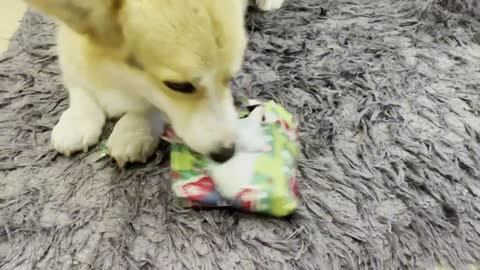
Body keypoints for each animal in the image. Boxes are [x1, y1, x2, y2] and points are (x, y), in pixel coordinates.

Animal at [24, 0, 284, 166]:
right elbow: (80, 86)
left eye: (230, 78)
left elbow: (148, 107)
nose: (227, 153)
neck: (116, 78)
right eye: (179, 86)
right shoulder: (70, 47)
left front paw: (133, 130)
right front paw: (76, 122)